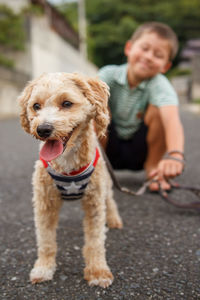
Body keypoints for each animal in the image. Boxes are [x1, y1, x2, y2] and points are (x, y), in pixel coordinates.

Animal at [18, 72, 122, 288]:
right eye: (36, 106)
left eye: (67, 103)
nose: (43, 129)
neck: (67, 165)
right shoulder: (44, 203)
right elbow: (46, 240)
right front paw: (44, 268)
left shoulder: (94, 203)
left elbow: (95, 241)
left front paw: (98, 271)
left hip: (106, 183)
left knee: (110, 201)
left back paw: (114, 219)